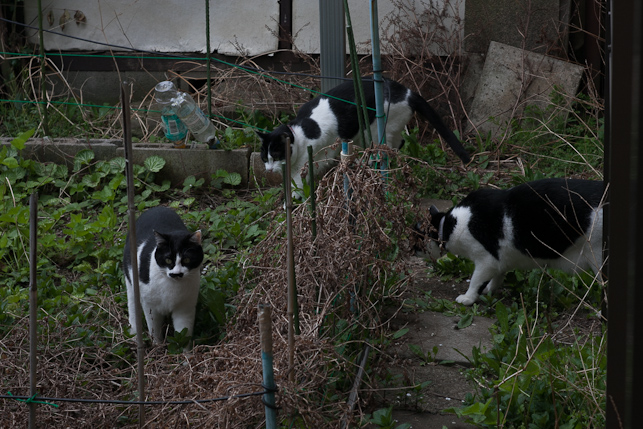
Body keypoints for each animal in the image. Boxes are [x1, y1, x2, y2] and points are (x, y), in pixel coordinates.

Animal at [123, 206, 204, 342]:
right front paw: (157, 345)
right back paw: (134, 334)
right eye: (168, 260)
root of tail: (157, 207)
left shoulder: (185, 307)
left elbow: (183, 332)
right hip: (131, 282)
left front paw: (184, 348)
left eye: (187, 260)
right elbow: (154, 329)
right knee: (132, 306)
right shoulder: (150, 306)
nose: (177, 273)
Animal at [256, 76, 472, 194]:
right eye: (264, 159)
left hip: (377, 129)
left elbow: (298, 185)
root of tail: (408, 92)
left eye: (276, 155)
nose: (269, 170)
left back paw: (372, 165)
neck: (299, 133)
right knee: (399, 142)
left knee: (387, 149)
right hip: (366, 134)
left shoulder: (311, 158)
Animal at [430, 177, 608, 304]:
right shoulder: (498, 261)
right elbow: (498, 275)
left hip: (598, 259)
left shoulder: (486, 260)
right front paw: (490, 289)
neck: (453, 224)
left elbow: (475, 280)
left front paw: (468, 297)